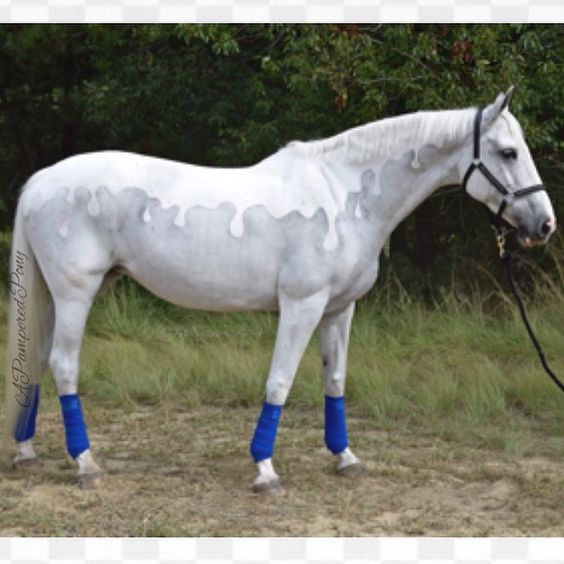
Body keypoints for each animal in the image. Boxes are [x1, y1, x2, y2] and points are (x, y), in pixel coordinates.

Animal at [1, 87, 556, 490]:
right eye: (509, 152)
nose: (545, 225)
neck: (343, 196)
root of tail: (40, 182)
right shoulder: (302, 305)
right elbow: (280, 381)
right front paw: (265, 470)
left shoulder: (339, 310)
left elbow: (335, 380)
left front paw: (346, 458)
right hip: (76, 292)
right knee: (64, 365)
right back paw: (86, 463)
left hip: (57, 296)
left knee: (37, 361)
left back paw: (27, 451)